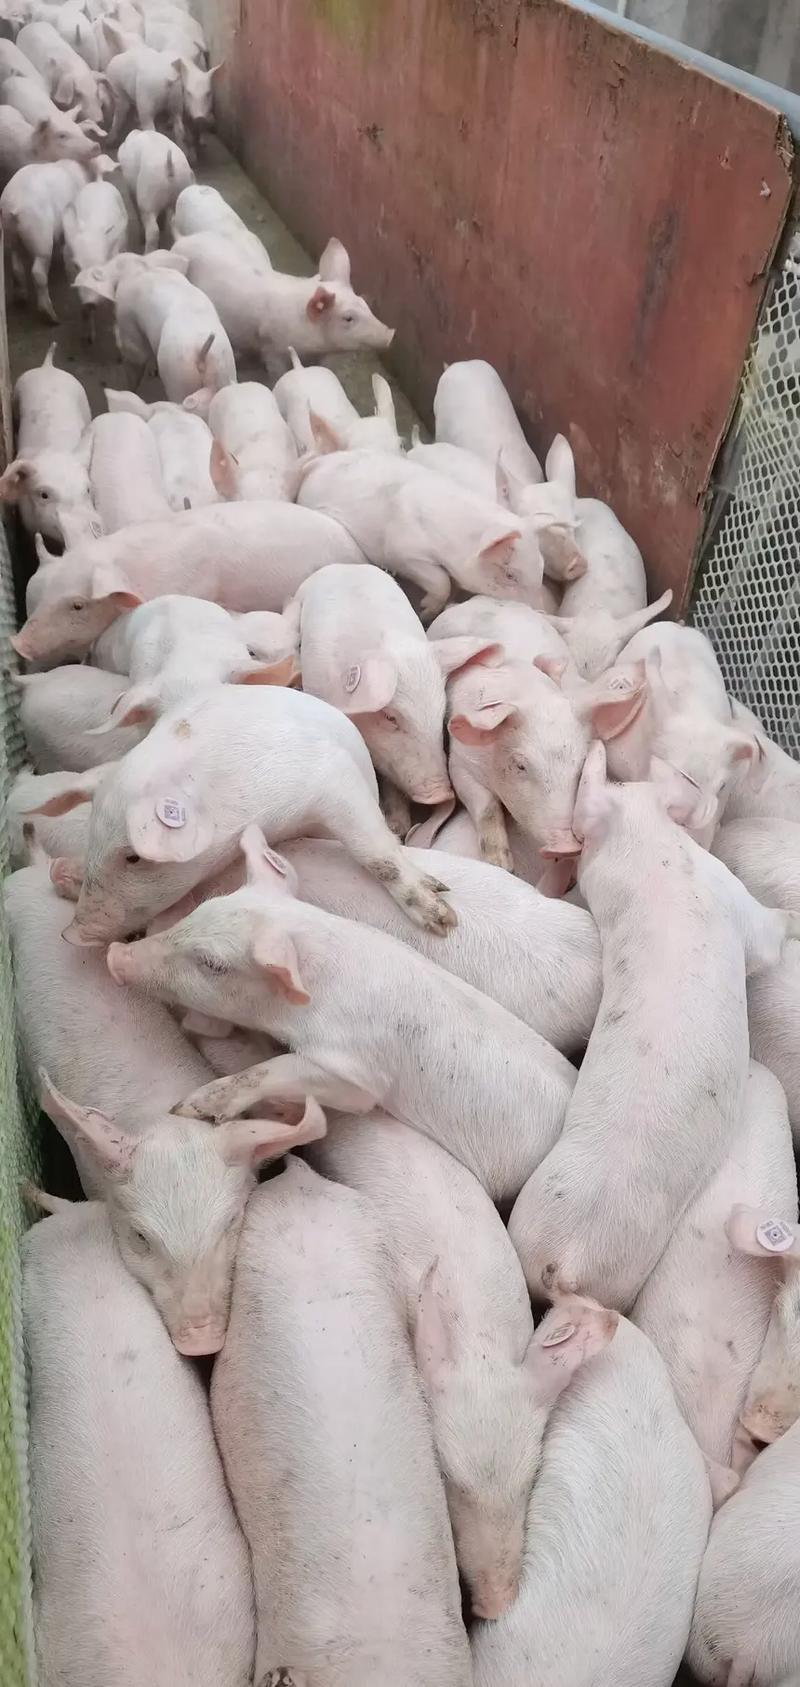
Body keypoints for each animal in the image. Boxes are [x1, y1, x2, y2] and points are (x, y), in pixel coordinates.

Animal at [0, 156, 102, 321]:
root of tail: (14, 206)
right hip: (40, 234)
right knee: (38, 272)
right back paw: (52, 317)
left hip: (10, 232)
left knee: (16, 264)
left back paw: (21, 300)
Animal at [0, 341, 97, 543]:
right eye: (44, 495)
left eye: (87, 490)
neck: (55, 450)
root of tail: (47, 366)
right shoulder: (28, 524)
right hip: (15, 398)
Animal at [56, 687, 457, 940]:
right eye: (91, 840)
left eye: (133, 857)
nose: (71, 933)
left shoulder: (329, 775)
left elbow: (375, 853)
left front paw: (444, 918)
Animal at [297, 449, 549, 619]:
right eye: (510, 575)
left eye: (542, 565)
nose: (541, 611)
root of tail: (317, 465)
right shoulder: (402, 549)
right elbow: (440, 580)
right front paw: (424, 612)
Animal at [443, 654, 647, 868]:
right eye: (520, 766)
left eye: (581, 763)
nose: (566, 847)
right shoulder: (459, 763)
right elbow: (486, 806)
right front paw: (501, 864)